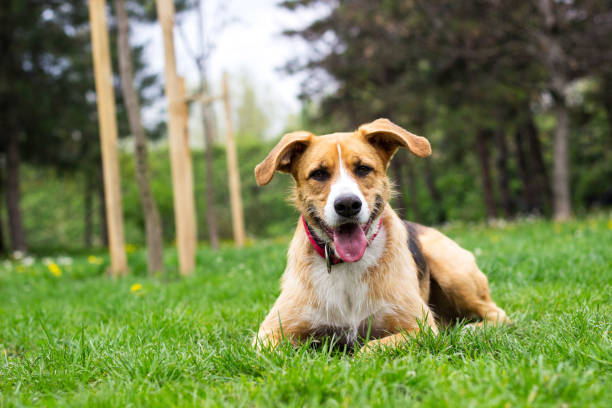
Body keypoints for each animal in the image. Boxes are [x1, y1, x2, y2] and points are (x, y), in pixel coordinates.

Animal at [251, 116, 510, 352]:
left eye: (363, 169)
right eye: (319, 174)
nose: (347, 204)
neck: (347, 265)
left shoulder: (420, 328)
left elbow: (369, 347)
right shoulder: (268, 333)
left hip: (451, 269)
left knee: (498, 314)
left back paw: (470, 329)